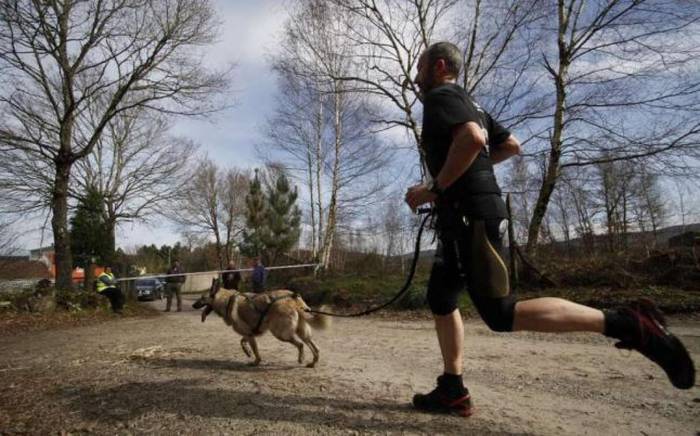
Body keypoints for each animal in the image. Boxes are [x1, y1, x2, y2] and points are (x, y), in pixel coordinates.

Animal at [193, 278, 330, 366]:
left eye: (202, 298)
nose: (193, 306)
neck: (226, 300)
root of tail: (293, 298)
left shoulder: (249, 335)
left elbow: (255, 350)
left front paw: (256, 361)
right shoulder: (249, 333)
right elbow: (242, 342)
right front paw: (247, 352)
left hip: (280, 334)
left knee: (301, 345)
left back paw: (301, 358)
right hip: (302, 332)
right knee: (314, 347)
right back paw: (313, 362)